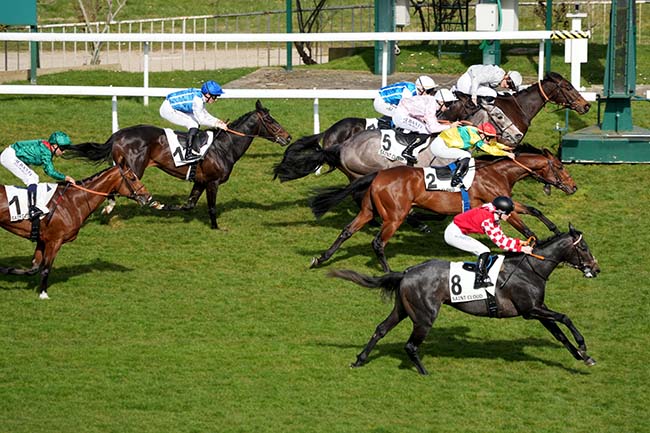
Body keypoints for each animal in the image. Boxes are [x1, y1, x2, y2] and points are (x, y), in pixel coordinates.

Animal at [0, 166, 151, 300]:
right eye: (132, 178)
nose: (147, 197)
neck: (72, 202)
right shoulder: (54, 241)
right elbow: (45, 268)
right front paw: (43, 294)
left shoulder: (42, 240)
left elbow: (34, 268)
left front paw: (7, 270)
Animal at [67, 99, 290, 230]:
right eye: (271, 120)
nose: (288, 137)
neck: (224, 146)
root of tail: (118, 134)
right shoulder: (213, 182)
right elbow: (211, 207)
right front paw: (216, 227)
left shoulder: (200, 181)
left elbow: (189, 205)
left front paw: (170, 207)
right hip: (133, 168)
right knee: (117, 181)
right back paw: (109, 207)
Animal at [308, 147, 576, 272]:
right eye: (560, 166)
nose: (573, 187)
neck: (499, 172)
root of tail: (379, 174)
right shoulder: (498, 204)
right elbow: (526, 226)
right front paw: (538, 244)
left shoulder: (505, 201)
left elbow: (533, 210)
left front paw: (554, 231)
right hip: (394, 216)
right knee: (378, 242)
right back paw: (387, 270)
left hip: (368, 211)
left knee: (346, 231)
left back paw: (321, 258)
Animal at [332, 224, 600, 372]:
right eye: (583, 247)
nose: (596, 269)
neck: (530, 268)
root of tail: (407, 272)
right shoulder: (531, 310)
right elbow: (565, 318)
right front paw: (583, 345)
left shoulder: (538, 309)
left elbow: (559, 334)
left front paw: (583, 357)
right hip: (425, 316)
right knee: (410, 345)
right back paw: (424, 373)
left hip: (403, 309)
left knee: (380, 329)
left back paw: (359, 360)